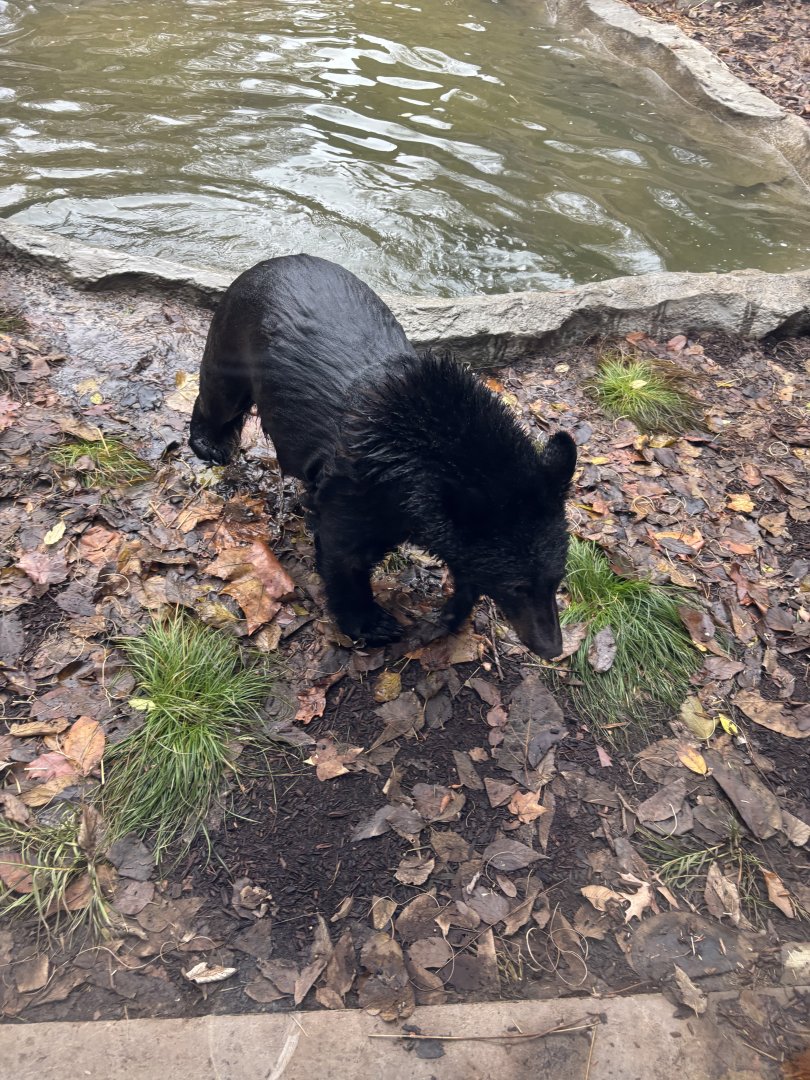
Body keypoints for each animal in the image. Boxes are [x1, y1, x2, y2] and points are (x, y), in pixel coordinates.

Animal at [189, 254, 577, 658]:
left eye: (556, 580)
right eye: (518, 586)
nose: (553, 648)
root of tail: (267, 264)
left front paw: (449, 615)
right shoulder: (357, 491)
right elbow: (344, 554)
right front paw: (371, 624)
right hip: (235, 338)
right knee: (220, 396)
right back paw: (209, 445)